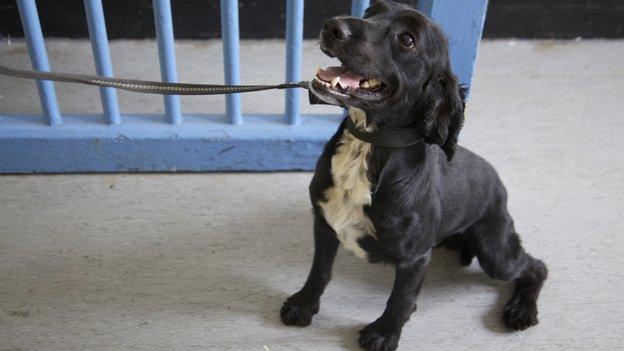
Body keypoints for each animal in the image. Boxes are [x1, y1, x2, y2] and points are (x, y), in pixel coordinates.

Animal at [278, 1, 544, 350]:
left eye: (407, 40)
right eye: (369, 11)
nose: (332, 26)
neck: (368, 145)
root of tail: (498, 181)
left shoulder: (415, 258)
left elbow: (400, 299)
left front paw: (384, 332)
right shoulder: (324, 224)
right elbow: (319, 270)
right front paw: (304, 304)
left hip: (495, 250)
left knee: (536, 267)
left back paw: (521, 310)